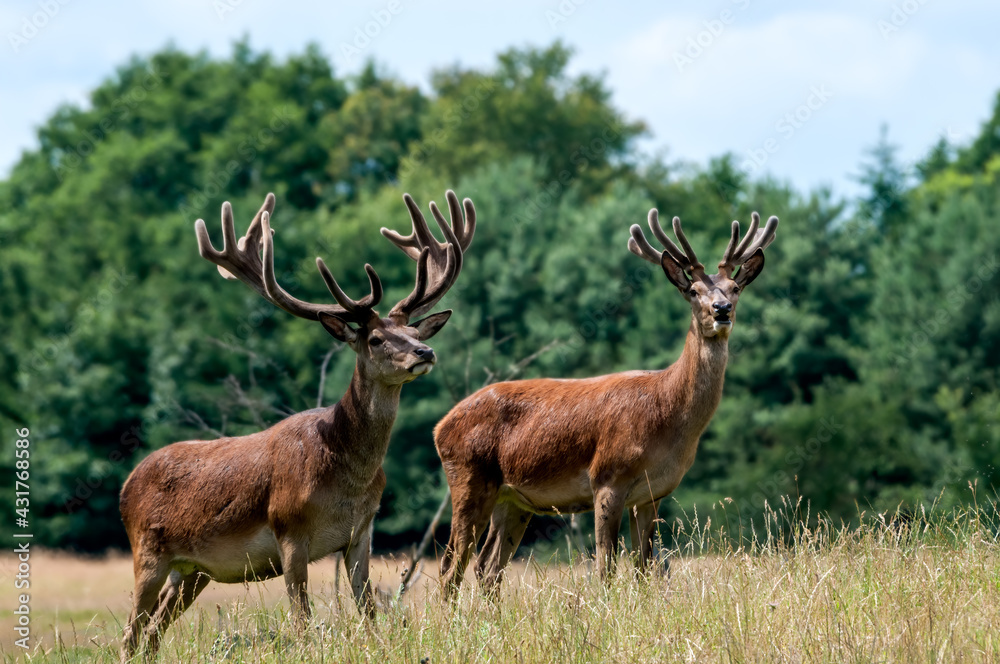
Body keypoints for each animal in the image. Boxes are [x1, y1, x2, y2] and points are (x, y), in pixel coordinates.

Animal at [117, 189, 476, 660]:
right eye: (376, 338)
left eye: (414, 331)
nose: (425, 352)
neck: (347, 478)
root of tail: (125, 487)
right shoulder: (288, 528)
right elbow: (302, 621)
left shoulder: (361, 532)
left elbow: (368, 611)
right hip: (147, 552)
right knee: (130, 633)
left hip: (192, 571)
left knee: (153, 634)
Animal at [434, 209, 776, 596]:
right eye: (692, 290)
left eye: (736, 288)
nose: (722, 310)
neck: (668, 417)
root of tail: (439, 427)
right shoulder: (607, 477)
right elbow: (606, 567)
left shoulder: (652, 494)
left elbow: (644, 566)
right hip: (467, 478)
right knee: (451, 566)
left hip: (512, 500)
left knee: (487, 567)